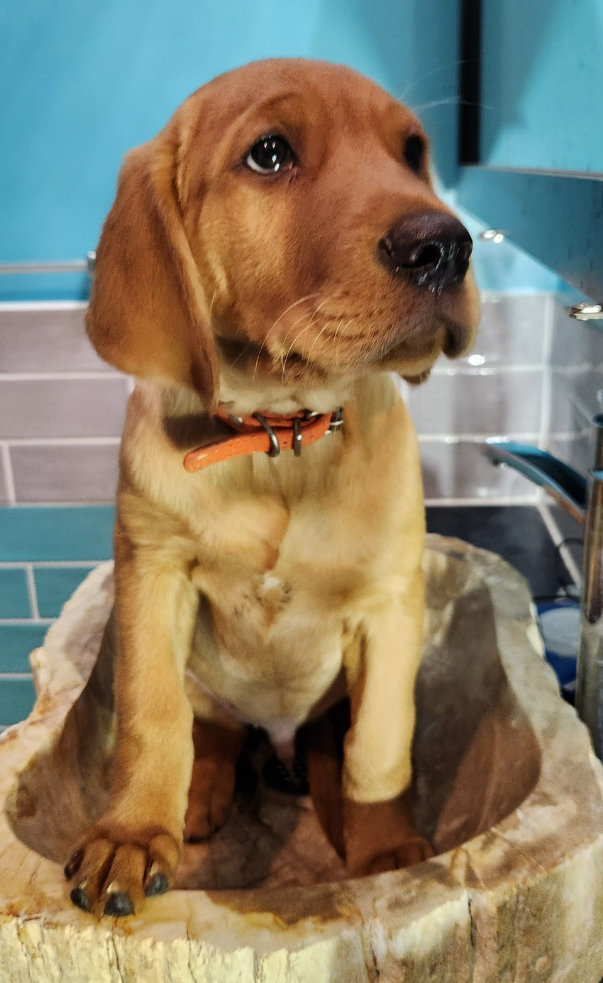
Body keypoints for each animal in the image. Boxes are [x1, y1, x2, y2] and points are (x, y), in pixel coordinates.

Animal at [65, 58, 479, 916]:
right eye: (268, 153)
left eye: (412, 152)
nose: (446, 245)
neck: (278, 438)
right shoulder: (152, 572)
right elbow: (152, 715)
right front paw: (132, 833)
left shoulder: (390, 604)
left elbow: (379, 742)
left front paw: (383, 847)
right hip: (204, 676)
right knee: (214, 728)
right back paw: (197, 799)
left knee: (330, 740)